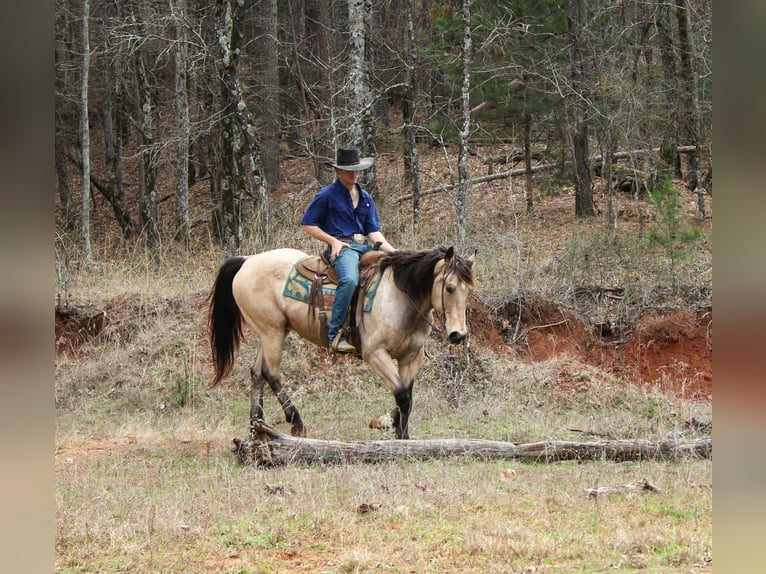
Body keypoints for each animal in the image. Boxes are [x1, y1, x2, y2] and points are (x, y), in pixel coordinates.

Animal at [208, 245, 475, 439]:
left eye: (469, 290)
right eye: (450, 288)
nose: (458, 335)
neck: (400, 297)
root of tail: (247, 260)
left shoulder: (411, 357)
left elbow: (407, 397)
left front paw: (398, 430)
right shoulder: (375, 354)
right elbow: (402, 395)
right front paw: (396, 432)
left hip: (272, 331)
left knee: (256, 373)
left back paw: (256, 425)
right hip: (271, 331)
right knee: (271, 373)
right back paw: (296, 423)